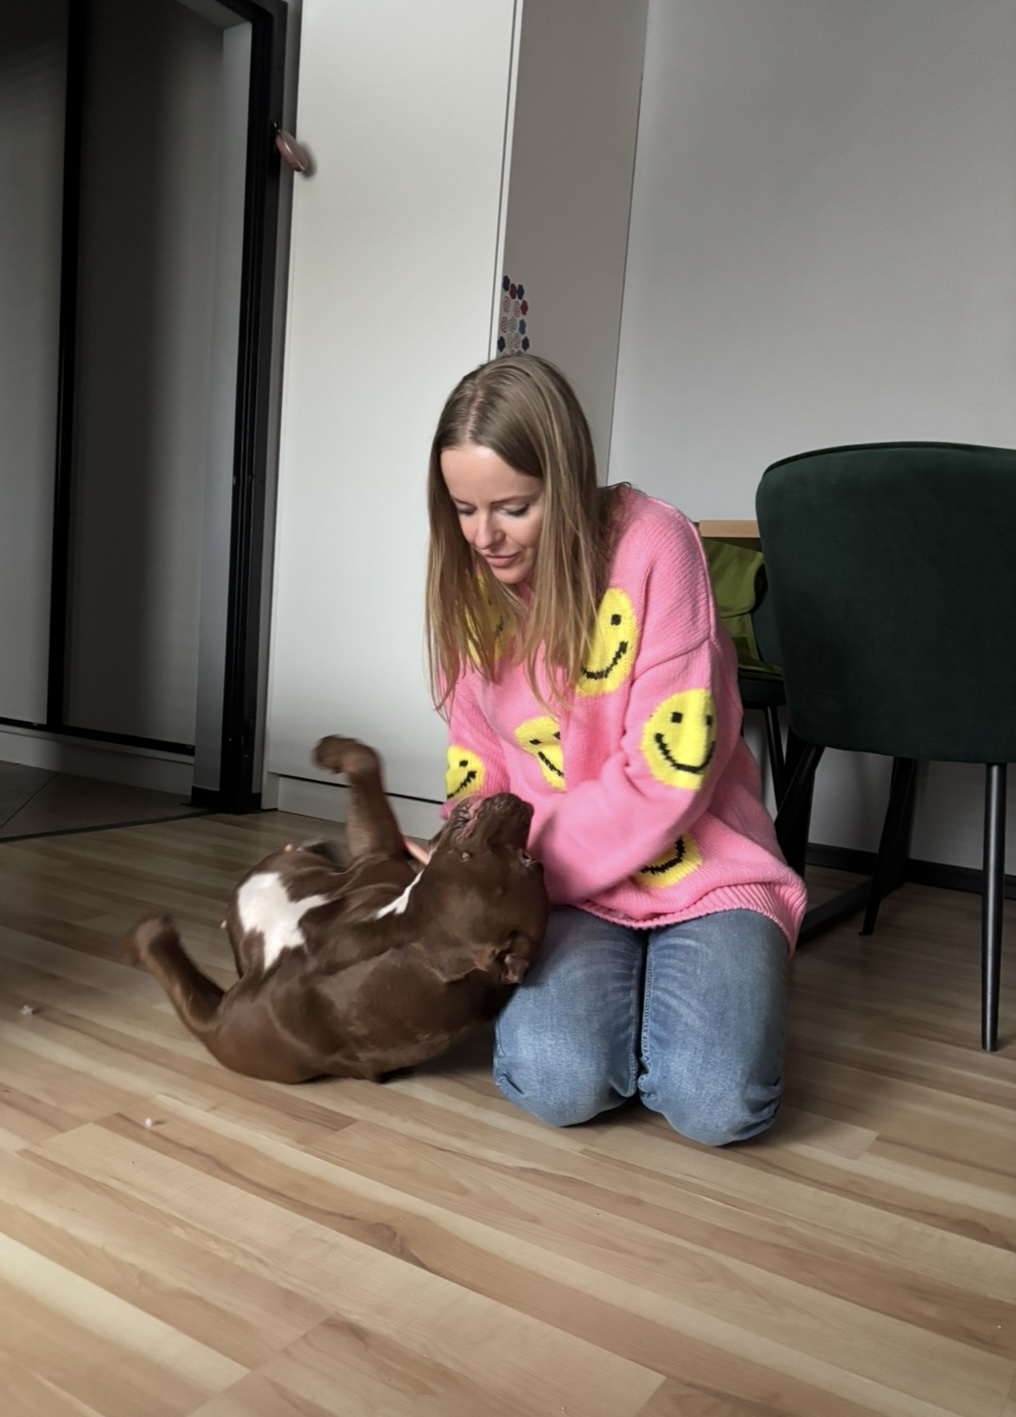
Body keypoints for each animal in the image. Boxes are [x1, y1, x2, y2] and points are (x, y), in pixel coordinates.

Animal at [124, 737, 548, 1083]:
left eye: (527, 860)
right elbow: (364, 759)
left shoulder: (219, 1026)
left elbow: (179, 980)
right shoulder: (379, 857)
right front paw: (329, 751)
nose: (519, 803)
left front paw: (150, 932)